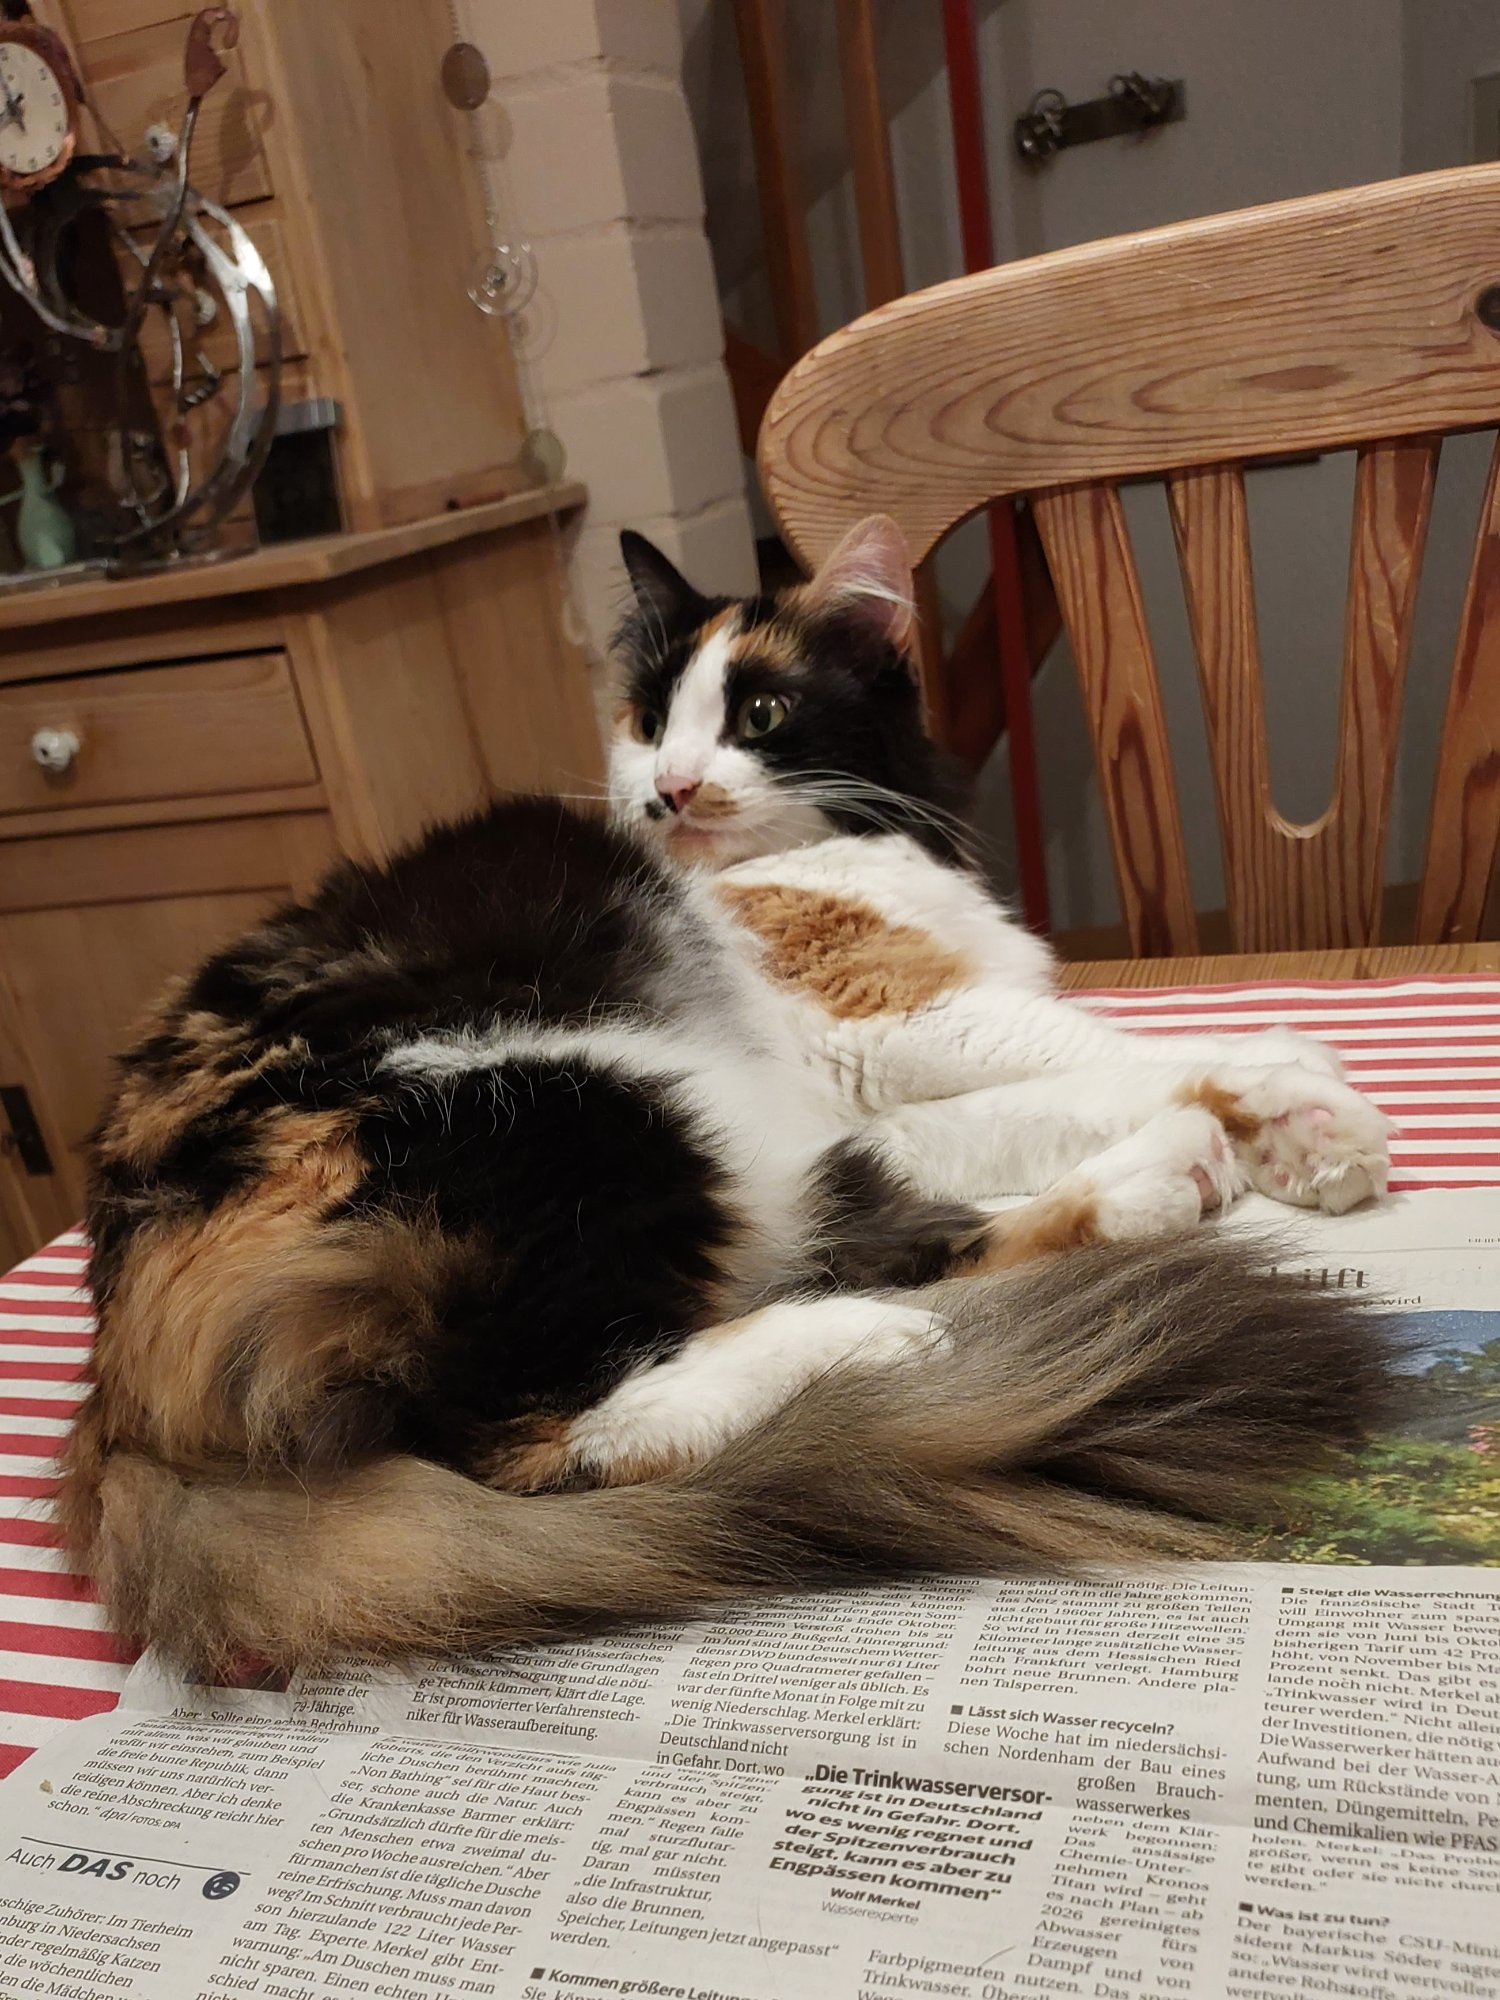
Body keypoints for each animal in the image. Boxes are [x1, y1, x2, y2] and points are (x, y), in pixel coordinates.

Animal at [59, 515, 1392, 1679]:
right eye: (652, 721)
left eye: (760, 714)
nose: (675, 786)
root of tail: (125, 1414)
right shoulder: (888, 1018)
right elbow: (1120, 1043)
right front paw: (1309, 1091)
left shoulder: (858, 1093)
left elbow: (1041, 1099)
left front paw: (1290, 1136)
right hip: (569, 1106)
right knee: (538, 1431)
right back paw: (869, 1338)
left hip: (706, 1154)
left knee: (868, 1243)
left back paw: (1153, 1187)